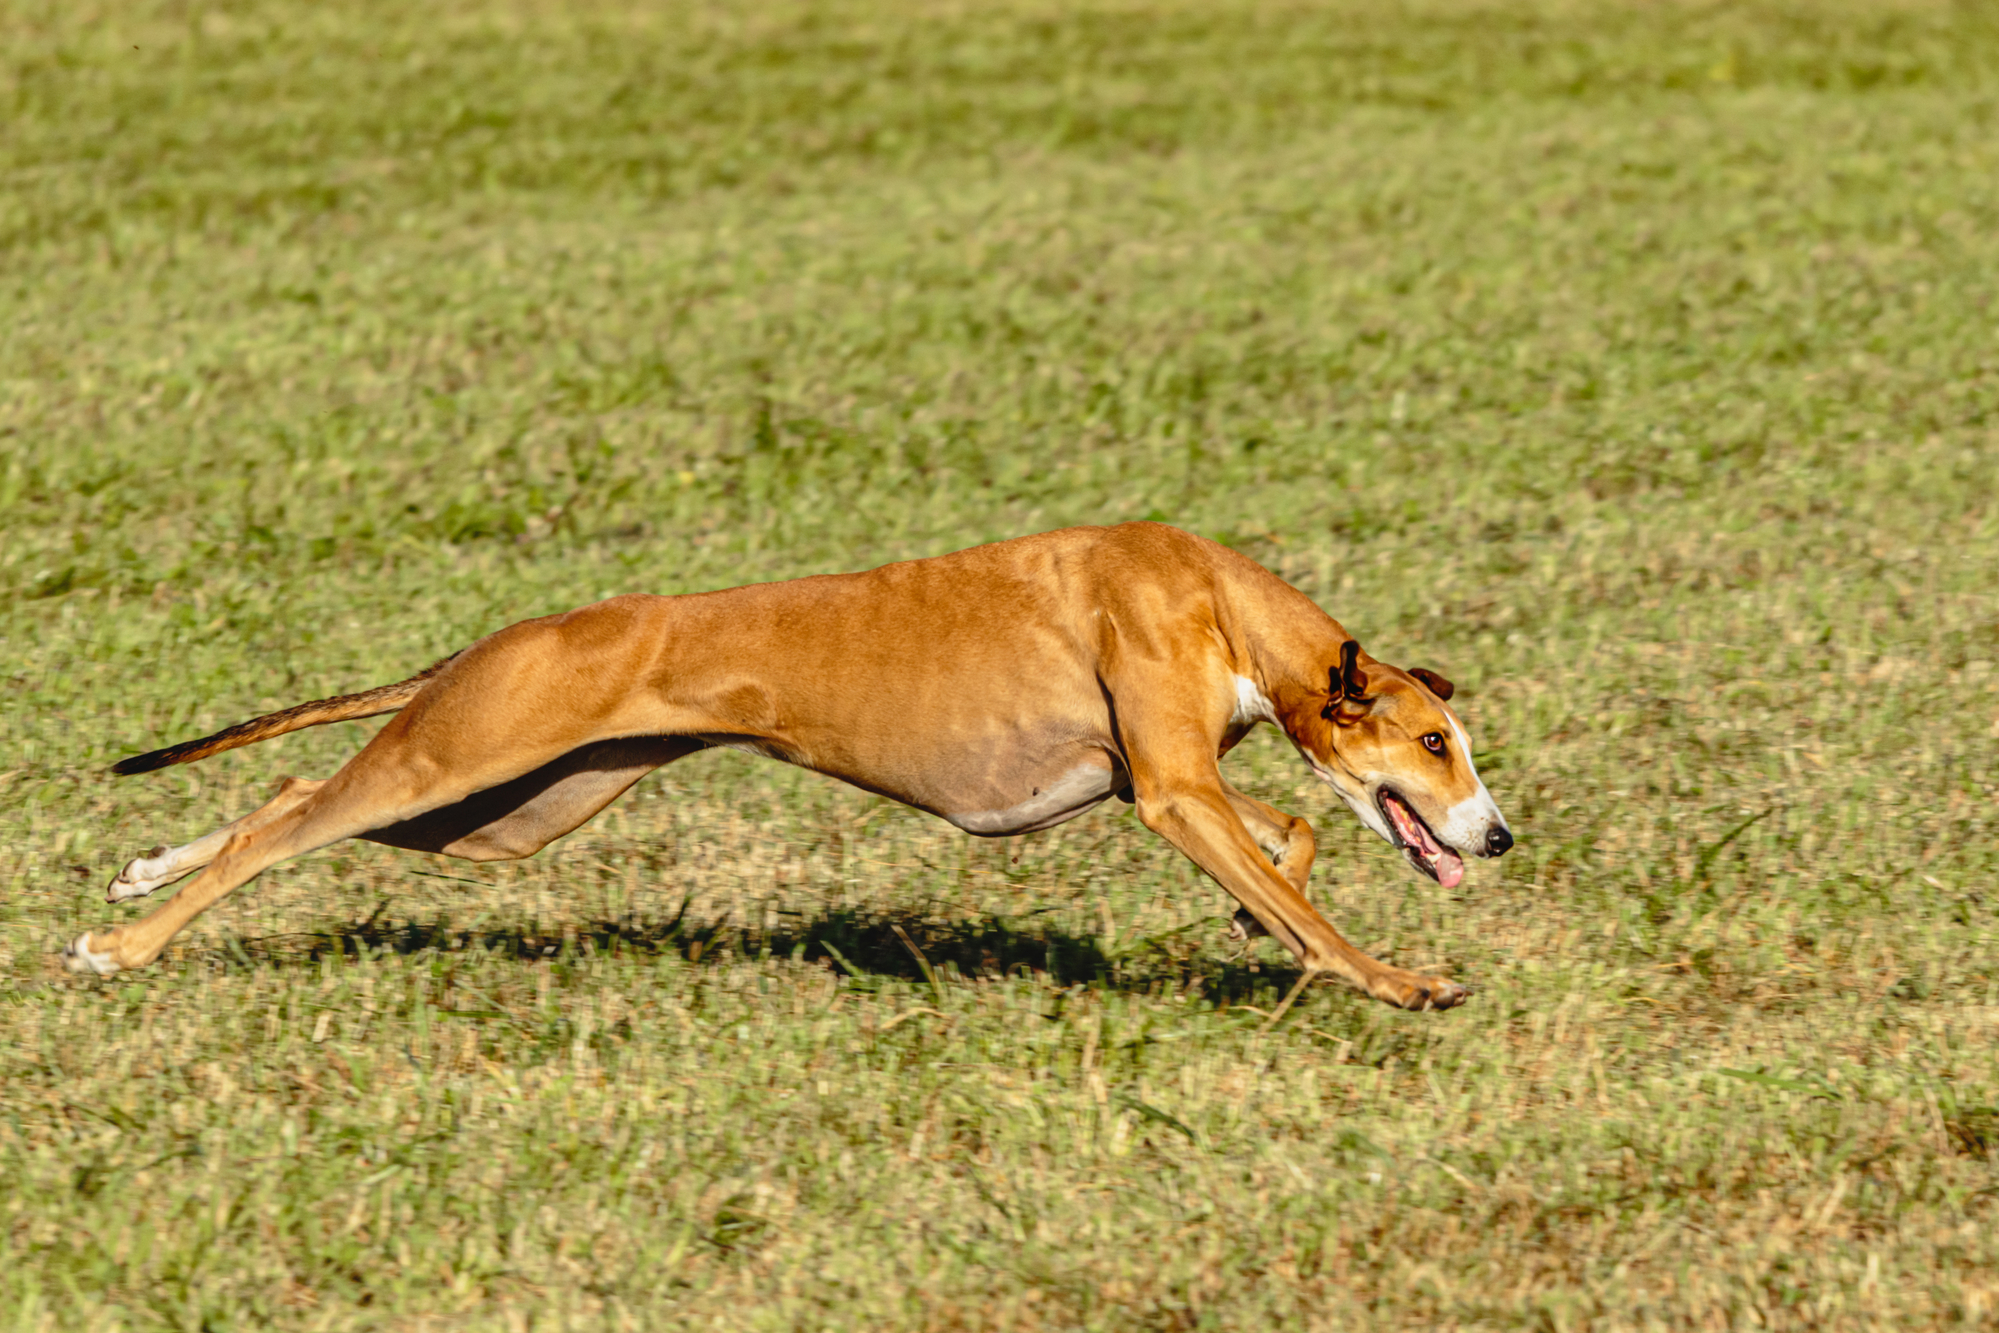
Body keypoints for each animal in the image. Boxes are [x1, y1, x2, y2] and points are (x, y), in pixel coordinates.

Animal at [73, 519, 1511, 1011]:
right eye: (1435, 744)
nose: (1495, 835)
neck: (1213, 594)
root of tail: (508, 636)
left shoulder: (1169, 785)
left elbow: (1291, 843)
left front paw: (1258, 912)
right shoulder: (1167, 793)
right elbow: (1316, 911)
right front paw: (1400, 981)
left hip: (502, 809)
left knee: (288, 795)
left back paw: (139, 881)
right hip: (464, 753)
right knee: (290, 817)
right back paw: (121, 949)